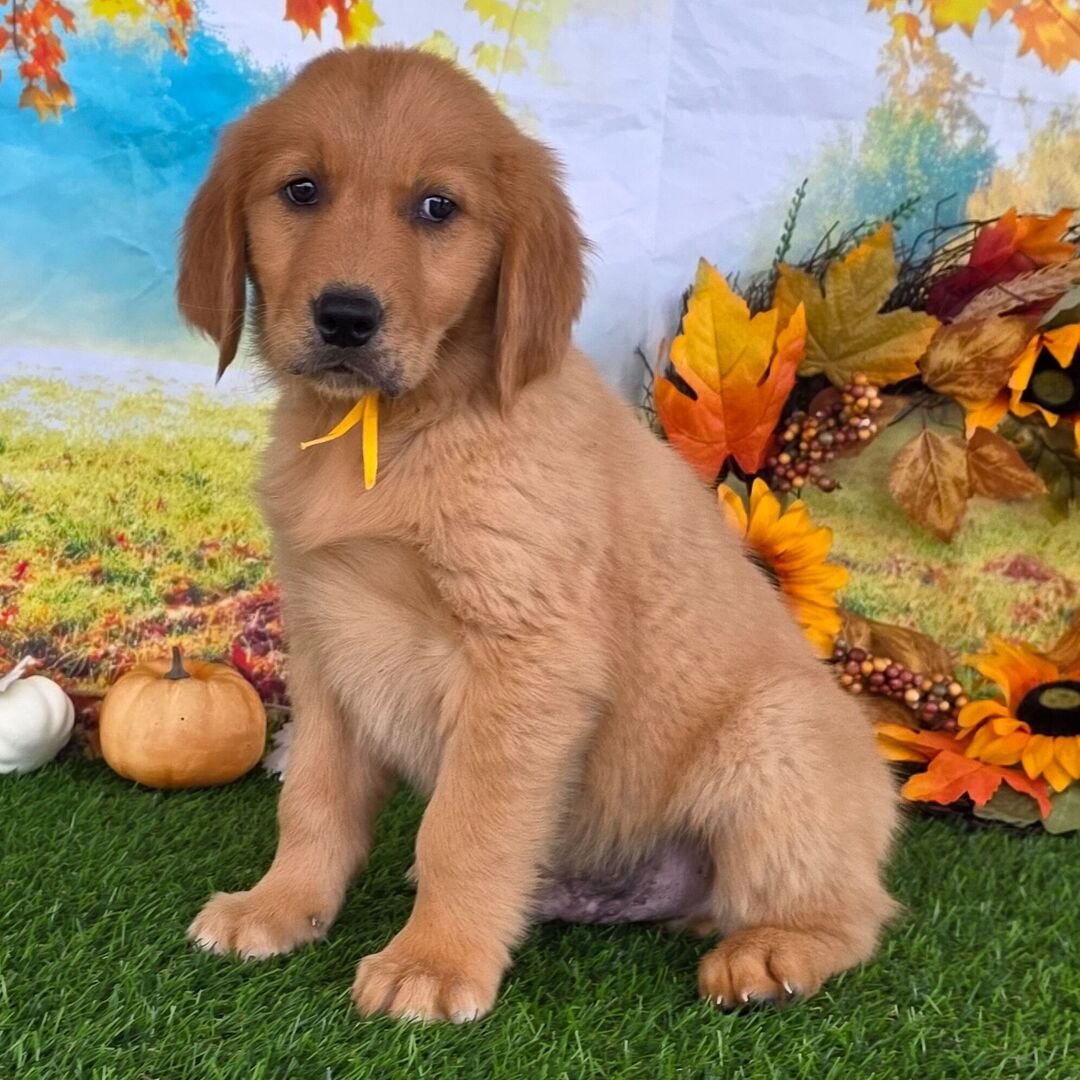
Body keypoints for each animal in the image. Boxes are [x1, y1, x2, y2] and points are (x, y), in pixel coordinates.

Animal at [178, 46, 898, 1023]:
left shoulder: (528, 660)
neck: (400, 431)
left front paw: (435, 961)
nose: (346, 318)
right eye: (301, 190)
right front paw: (280, 907)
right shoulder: (329, 646)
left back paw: (773, 951)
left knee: (853, 910)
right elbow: (316, 802)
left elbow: (466, 826)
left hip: (777, 742)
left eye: (437, 208)